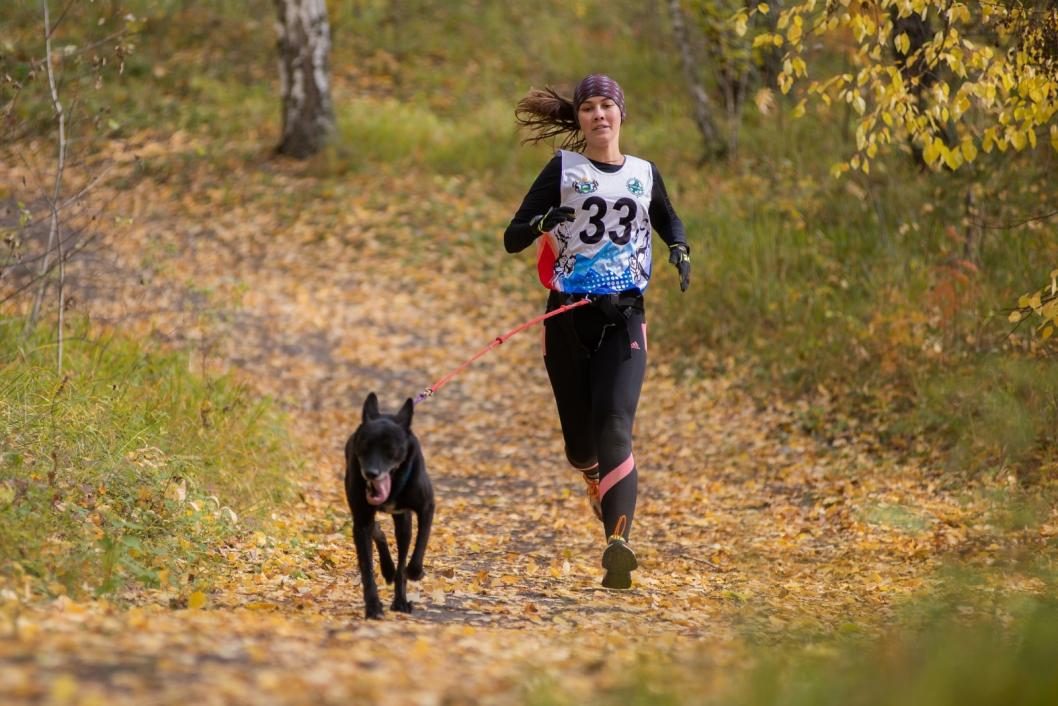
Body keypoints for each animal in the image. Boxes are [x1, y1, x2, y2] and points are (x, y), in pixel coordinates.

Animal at [342, 395, 433, 622]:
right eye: (365, 445)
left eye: (390, 448)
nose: (371, 473)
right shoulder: (361, 522)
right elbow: (367, 569)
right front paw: (373, 608)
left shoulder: (427, 507)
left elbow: (420, 544)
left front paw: (415, 572)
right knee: (378, 532)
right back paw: (388, 570)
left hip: (403, 523)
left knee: (402, 556)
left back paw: (400, 599)